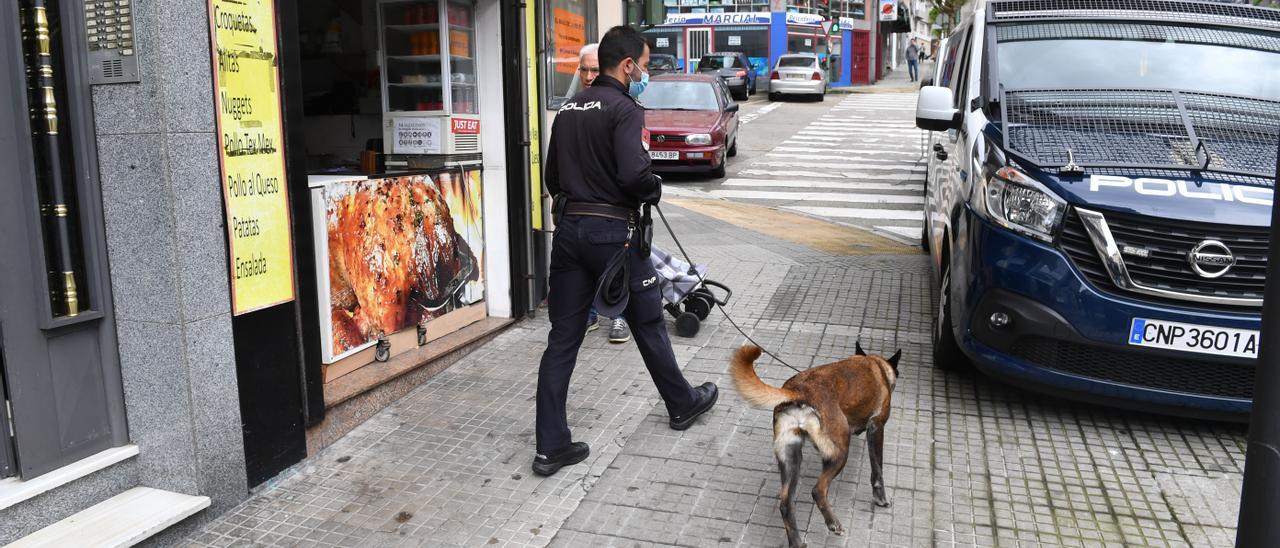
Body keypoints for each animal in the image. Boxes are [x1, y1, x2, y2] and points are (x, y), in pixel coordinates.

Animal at [732, 340, 901, 545]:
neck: (875, 364)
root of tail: (797, 390)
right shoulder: (876, 427)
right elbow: (877, 470)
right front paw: (881, 498)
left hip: (791, 456)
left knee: (786, 504)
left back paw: (797, 542)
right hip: (839, 452)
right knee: (818, 490)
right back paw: (833, 523)